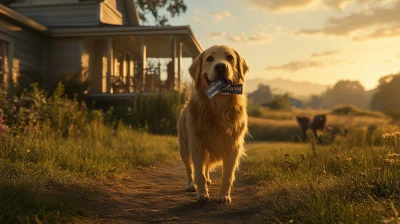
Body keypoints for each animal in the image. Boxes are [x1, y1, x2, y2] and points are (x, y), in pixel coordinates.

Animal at [177, 44, 248, 204]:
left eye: (230, 57)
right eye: (209, 59)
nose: (221, 66)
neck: (218, 106)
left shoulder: (233, 146)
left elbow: (227, 175)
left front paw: (223, 196)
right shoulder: (197, 144)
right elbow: (198, 172)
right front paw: (202, 194)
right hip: (184, 148)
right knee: (189, 168)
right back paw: (191, 185)